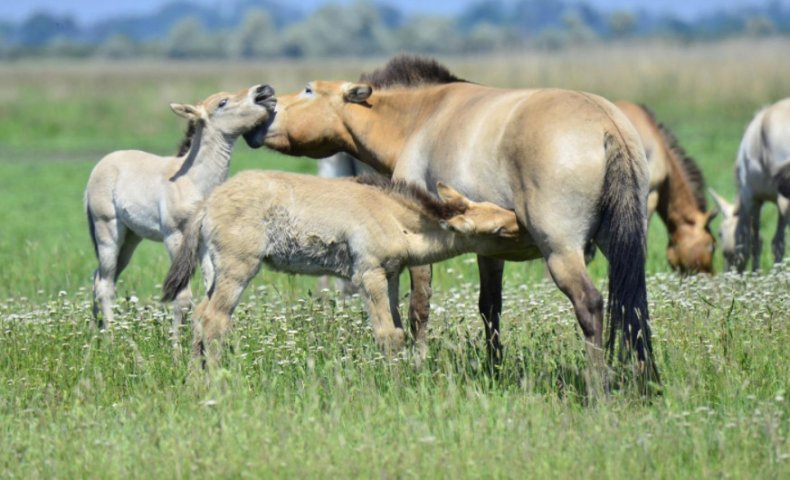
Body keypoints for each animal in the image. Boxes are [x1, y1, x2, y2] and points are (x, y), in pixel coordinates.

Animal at [85, 82, 276, 334]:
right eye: (222, 102)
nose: (265, 90)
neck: (193, 180)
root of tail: (99, 167)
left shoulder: (203, 240)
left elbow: (211, 287)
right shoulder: (174, 236)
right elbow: (183, 297)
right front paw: (176, 342)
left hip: (130, 239)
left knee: (100, 278)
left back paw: (97, 331)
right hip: (108, 231)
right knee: (105, 285)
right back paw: (111, 336)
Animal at [162, 172, 524, 360]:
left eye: (498, 207)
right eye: (498, 230)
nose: (521, 222)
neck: (395, 217)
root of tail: (207, 204)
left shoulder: (391, 275)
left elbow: (399, 328)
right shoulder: (369, 275)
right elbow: (388, 335)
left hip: (215, 270)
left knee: (200, 316)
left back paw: (196, 378)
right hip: (238, 269)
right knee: (214, 320)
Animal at [243, 54, 664, 382]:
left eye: (308, 90)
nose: (263, 105)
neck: (423, 116)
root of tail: (607, 123)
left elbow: (418, 308)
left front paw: (416, 363)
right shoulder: (490, 250)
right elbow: (490, 309)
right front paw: (495, 370)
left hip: (562, 252)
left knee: (590, 304)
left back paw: (599, 389)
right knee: (632, 307)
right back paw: (645, 382)